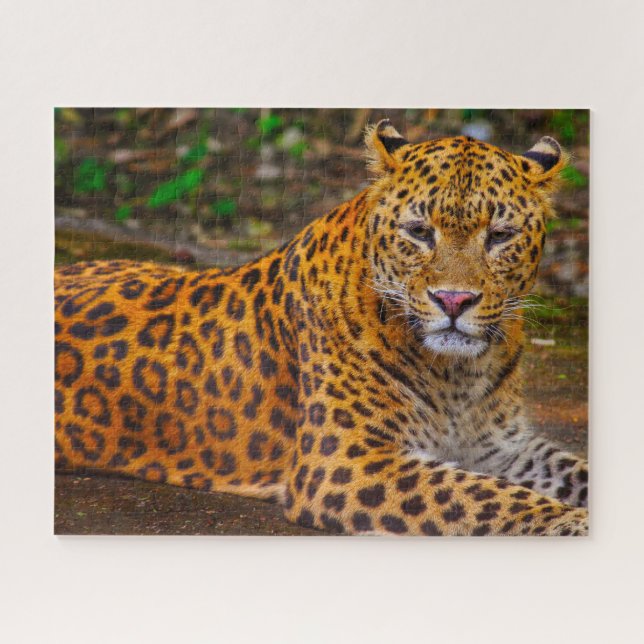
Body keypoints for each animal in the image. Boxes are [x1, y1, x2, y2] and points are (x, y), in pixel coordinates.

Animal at [55, 120, 588, 536]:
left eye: (500, 236)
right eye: (419, 232)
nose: (453, 300)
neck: (459, 373)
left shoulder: (504, 448)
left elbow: (572, 471)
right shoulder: (346, 462)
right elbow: (487, 497)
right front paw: (575, 524)